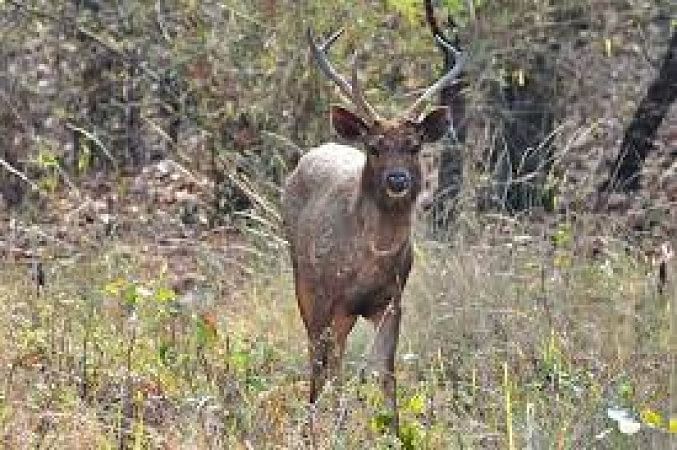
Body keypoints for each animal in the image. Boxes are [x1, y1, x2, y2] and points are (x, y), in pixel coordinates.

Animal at [282, 18, 464, 436]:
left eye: (414, 145)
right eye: (375, 146)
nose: (398, 180)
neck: (373, 256)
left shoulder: (391, 299)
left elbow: (385, 372)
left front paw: (394, 431)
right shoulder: (331, 296)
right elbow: (328, 365)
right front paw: (324, 428)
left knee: (332, 357)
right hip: (303, 279)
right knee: (319, 356)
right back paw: (315, 415)